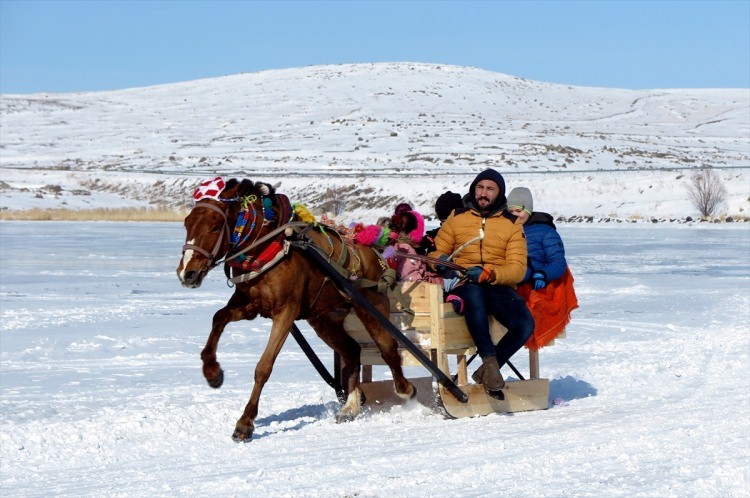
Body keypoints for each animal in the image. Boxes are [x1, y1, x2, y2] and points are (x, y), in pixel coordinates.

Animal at [177, 178, 418, 440]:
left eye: (215, 226)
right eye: (187, 223)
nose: (187, 273)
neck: (266, 247)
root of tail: (372, 250)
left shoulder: (286, 311)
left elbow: (264, 367)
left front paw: (245, 423)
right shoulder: (248, 305)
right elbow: (218, 318)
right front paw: (213, 373)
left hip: (372, 306)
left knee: (388, 348)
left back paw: (406, 390)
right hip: (324, 319)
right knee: (352, 351)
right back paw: (351, 405)